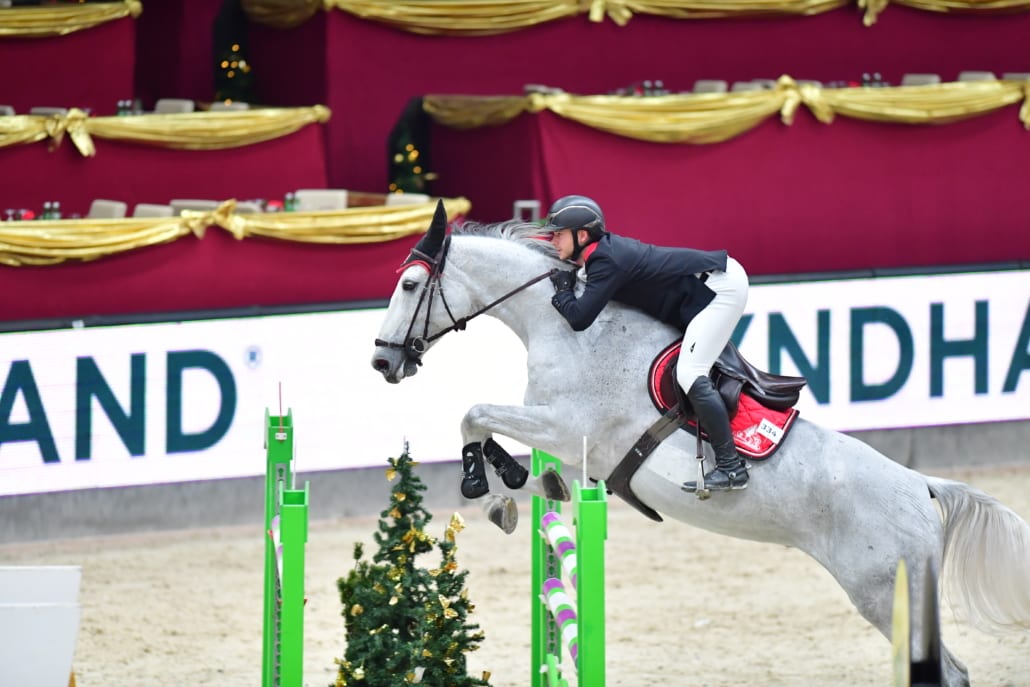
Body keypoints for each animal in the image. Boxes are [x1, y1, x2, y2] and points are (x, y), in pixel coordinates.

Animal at [370, 202, 1030, 686]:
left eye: (410, 284)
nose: (382, 362)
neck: (568, 326)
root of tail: (924, 487)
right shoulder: (569, 444)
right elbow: (532, 468)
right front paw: (511, 487)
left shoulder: (566, 425)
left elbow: (474, 413)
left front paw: (483, 482)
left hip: (886, 592)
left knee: (950, 673)